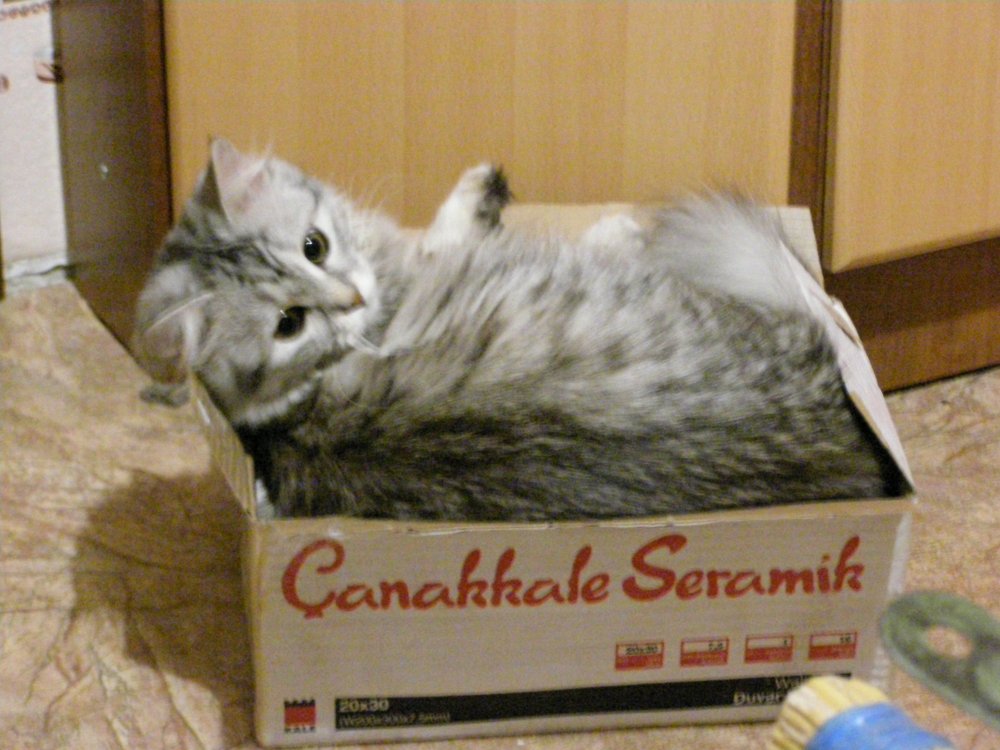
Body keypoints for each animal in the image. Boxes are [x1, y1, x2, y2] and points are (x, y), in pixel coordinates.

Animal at [133, 139, 900, 521]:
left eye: (313, 246)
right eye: (289, 323)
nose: (351, 297)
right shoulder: (432, 257)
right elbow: (457, 229)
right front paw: (602, 224)